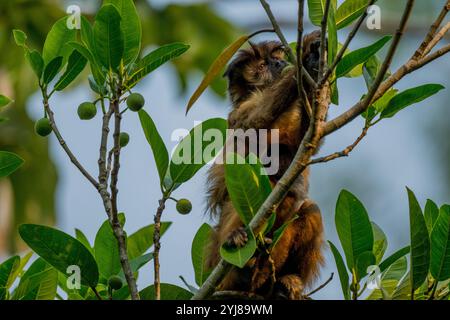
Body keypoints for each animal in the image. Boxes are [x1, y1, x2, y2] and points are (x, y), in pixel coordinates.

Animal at [206, 30, 328, 300]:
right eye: (263, 65)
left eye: (276, 60)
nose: (279, 65)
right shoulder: (240, 112)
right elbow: (253, 125)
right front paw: (306, 59)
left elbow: (305, 142)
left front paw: (313, 59)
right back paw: (238, 251)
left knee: (309, 208)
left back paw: (287, 281)